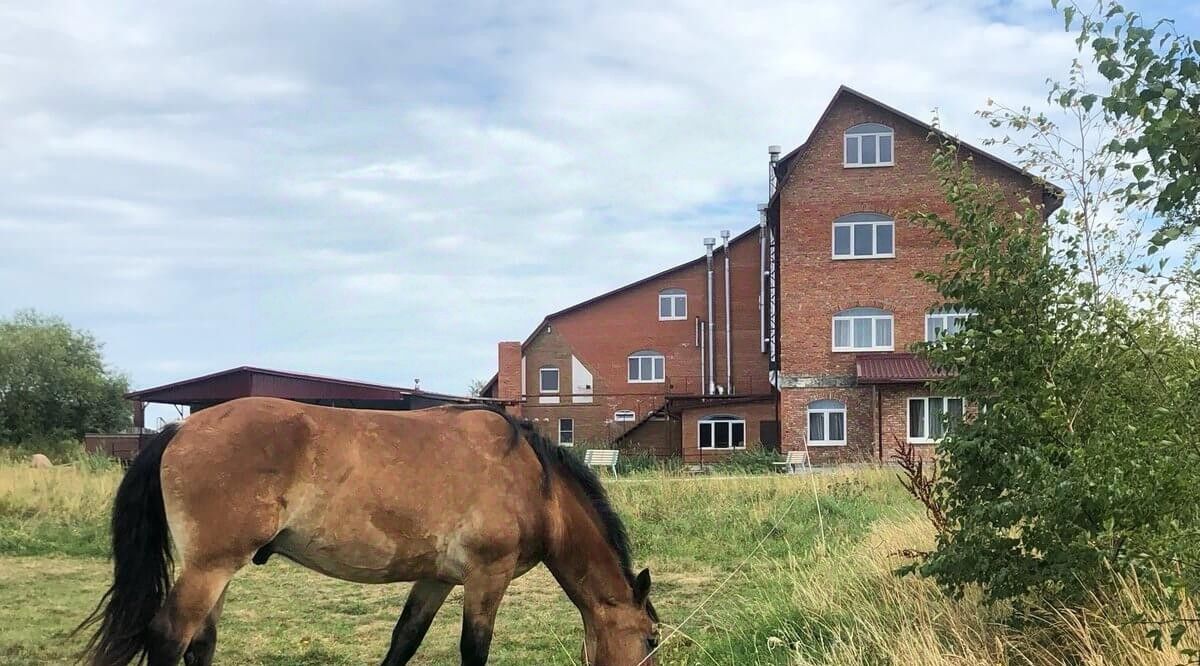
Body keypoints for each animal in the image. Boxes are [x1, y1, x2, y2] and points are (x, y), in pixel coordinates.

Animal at [77, 398, 657, 662]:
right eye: (650, 640)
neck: (534, 483)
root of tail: (180, 427)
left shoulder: (438, 579)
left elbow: (404, 640)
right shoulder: (486, 578)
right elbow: (473, 650)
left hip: (215, 572)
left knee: (201, 642)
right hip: (209, 568)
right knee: (169, 636)